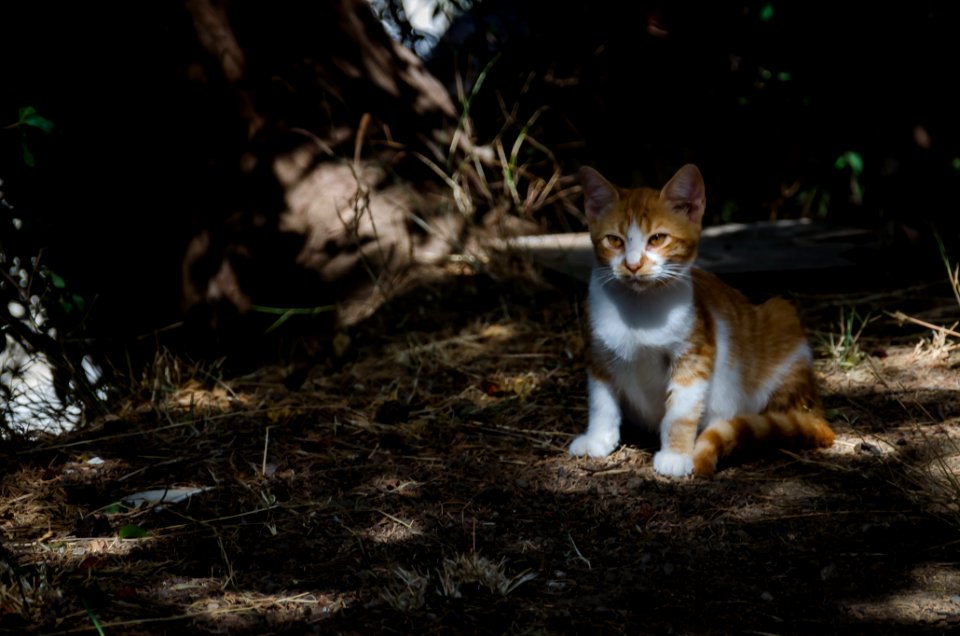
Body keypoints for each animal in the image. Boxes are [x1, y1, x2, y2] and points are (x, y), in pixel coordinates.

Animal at [568, 164, 832, 476]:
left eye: (657, 239)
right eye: (614, 241)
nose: (633, 265)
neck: (639, 308)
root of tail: (815, 408)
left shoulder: (695, 353)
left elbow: (680, 412)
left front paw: (676, 454)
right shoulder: (598, 352)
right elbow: (601, 402)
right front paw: (598, 439)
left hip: (783, 318)